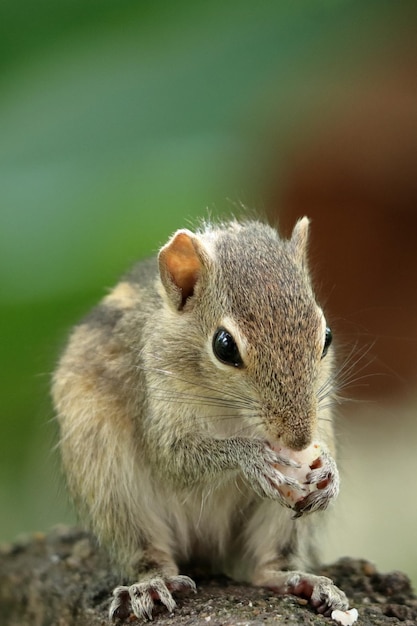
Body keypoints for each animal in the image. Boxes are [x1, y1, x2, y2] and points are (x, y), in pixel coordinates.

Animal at [53, 217, 350, 616]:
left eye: (327, 336)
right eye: (224, 346)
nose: (299, 439)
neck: (232, 414)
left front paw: (329, 471)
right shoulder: (158, 413)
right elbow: (177, 459)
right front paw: (253, 459)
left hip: (280, 526)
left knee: (265, 565)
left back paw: (300, 580)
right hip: (112, 490)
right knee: (147, 553)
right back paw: (151, 584)